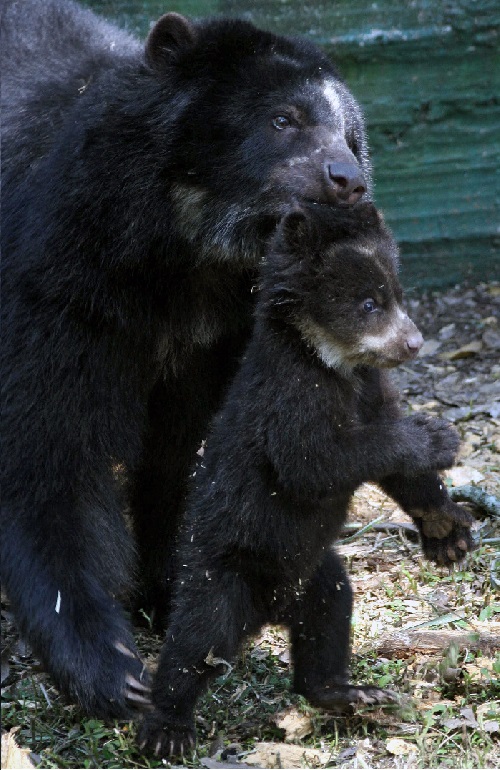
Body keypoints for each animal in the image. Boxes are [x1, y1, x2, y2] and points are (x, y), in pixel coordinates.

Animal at [0, 0, 372, 716]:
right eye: (283, 120)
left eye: (351, 134)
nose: (349, 182)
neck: (189, 254)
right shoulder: (64, 285)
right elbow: (51, 451)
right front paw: (110, 667)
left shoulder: (229, 330)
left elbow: (202, 454)